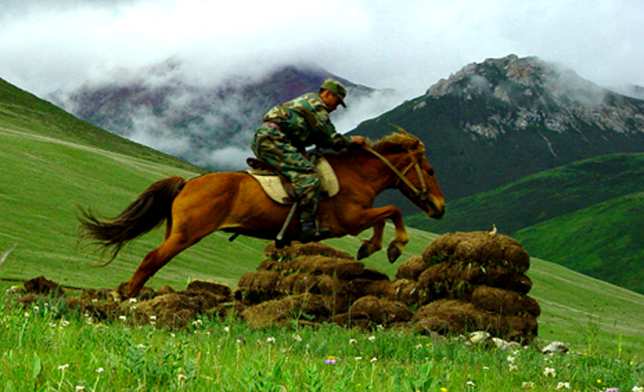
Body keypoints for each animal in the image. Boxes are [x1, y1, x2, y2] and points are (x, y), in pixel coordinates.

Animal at [79, 130, 442, 296]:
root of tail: (187, 183)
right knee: (151, 259)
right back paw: (128, 297)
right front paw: (392, 246)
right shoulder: (350, 220)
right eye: (431, 170)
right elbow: (392, 210)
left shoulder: (359, 217)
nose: (440, 208)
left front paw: (376, 247)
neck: (355, 174)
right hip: (185, 235)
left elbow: (387, 215)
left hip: (177, 232)